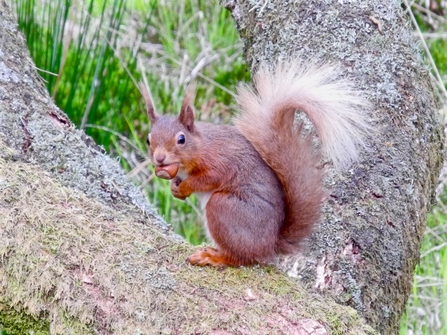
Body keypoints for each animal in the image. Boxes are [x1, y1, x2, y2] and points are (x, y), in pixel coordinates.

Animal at [142, 61, 370, 270]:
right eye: (148, 140)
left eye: (181, 139)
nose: (159, 158)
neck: (201, 145)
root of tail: (270, 245)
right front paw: (175, 188)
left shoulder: (221, 161)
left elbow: (209, 178)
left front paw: (185, 187)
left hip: (224, 208)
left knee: (240, 258)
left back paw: (214, 257)